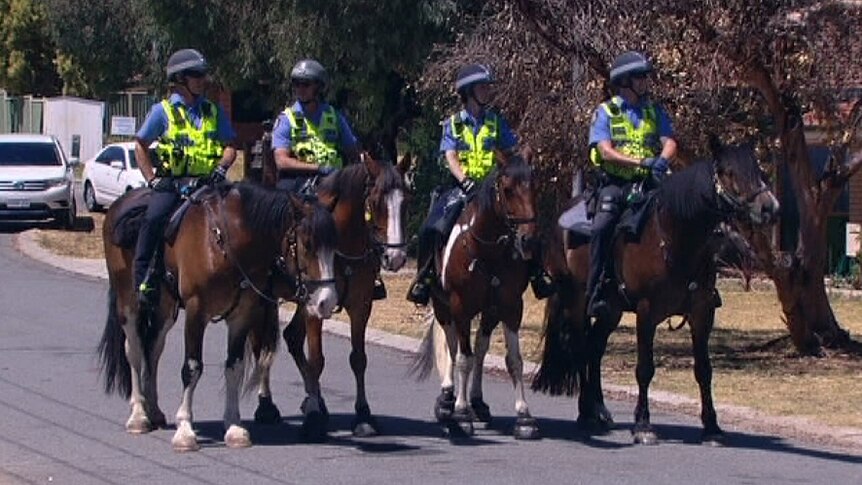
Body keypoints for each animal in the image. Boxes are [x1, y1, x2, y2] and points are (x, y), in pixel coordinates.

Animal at [96, 182, 336, 450]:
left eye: (334, 246)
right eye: (307, 244)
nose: (327, 301)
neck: (225, 242)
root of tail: (119, 203)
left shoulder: (242, 314)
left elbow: (234, 366)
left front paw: (233, 426)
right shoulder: (195, 311)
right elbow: (192, 368)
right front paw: (185, 430)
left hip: (165, 307)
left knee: (154, 349)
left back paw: (154, 410)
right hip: (128, 301)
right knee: (136, 351)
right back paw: (139, 415)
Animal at [251, 153, 414, 440]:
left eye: (406, 201)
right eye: (375, 201)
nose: (395, 257)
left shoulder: (360, 306)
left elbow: (358, 359)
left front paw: (363, 415)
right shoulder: (314, 307)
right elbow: (317, 360)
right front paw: (314, 419)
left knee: (291, 337)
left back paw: (314, 399)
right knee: (262, 344)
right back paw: (267, 405)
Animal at [410, 155, 540, 438]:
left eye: (533, 186)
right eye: (507, 190)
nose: (528, 240)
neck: (488, 251)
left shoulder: (511, 307)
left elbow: (514, 360)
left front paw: (524, 416)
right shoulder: (460, 307)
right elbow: (462, 359)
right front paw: (460, 412)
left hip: (489, 312)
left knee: (479, 348)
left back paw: (477, 402)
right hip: (443, 307)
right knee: (453, 346)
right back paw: (448, 399)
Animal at [532, 138, 784, 444]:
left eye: (758, 169)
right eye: (728, 172)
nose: (770, 207)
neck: (677, 238)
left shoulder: (702, 312)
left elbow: (704, 370)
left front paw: (712, 426)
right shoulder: (646, 311)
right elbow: (645, 369)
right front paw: (643, 424)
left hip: (611, 311)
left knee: (594, 349)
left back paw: (599, 410)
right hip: (576, 302)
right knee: (581, 348)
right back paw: (586, 413)